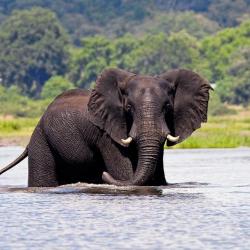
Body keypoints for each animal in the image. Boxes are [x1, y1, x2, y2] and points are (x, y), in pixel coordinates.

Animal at [0, 67, 212, 187]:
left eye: (168, 107)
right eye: (128, 108)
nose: (103, 174)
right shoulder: (106, 135)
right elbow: (125, 174)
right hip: (41, 142)